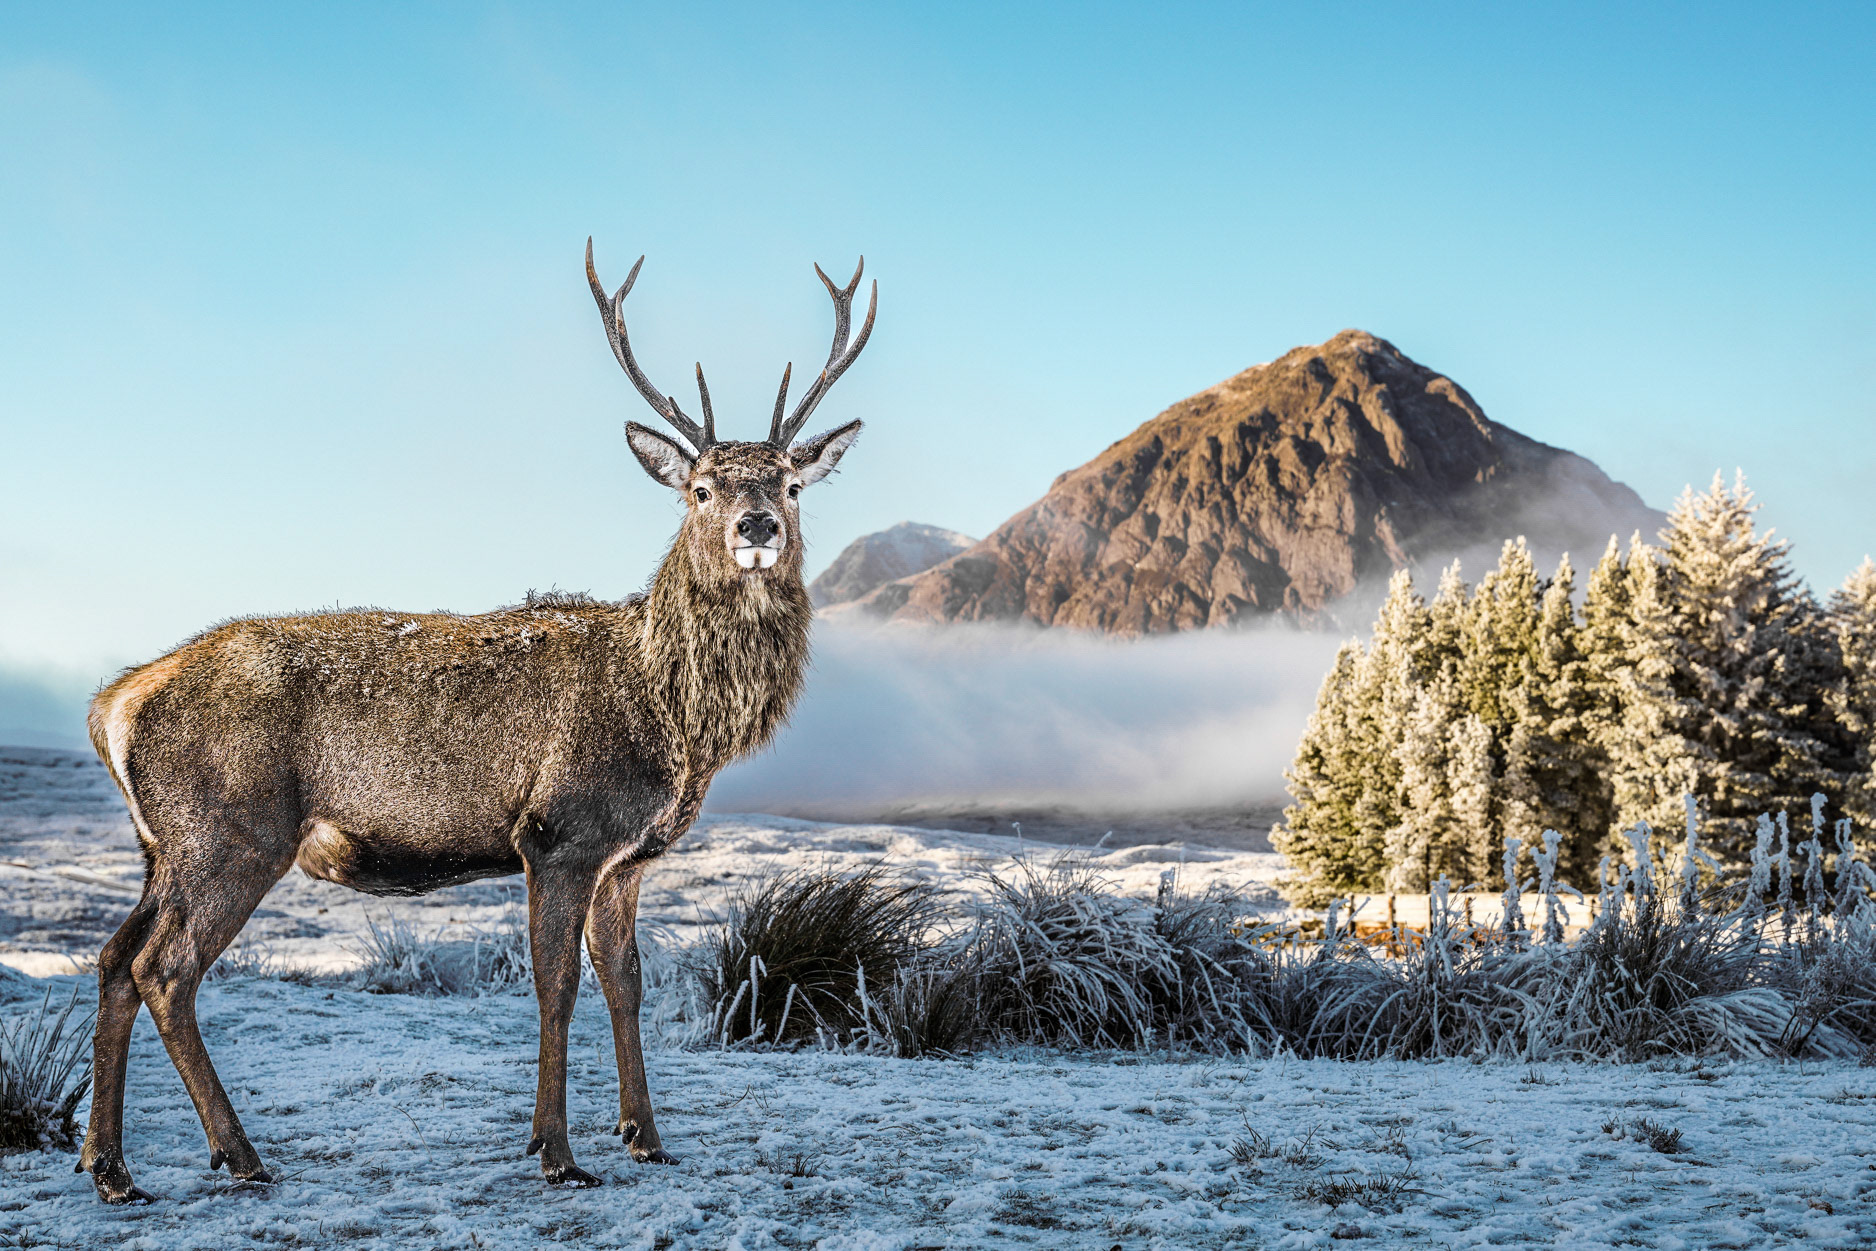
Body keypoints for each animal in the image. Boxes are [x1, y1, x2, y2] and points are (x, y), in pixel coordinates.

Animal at [75, 239, 876, 1203]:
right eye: (699, 487)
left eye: (792, 482)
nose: (757, 525)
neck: (672, 713)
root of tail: (115, 704)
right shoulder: (559, 829)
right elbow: (555, 986)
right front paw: (556, 1151)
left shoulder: (627, 856)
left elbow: (627, 983)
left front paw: (646, 1136)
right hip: (232, 828)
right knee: (164, 969)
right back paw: (239, 1152)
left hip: (164, 846)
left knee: (113, 960)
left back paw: (109, 1164)